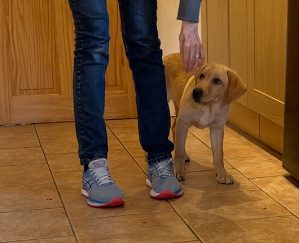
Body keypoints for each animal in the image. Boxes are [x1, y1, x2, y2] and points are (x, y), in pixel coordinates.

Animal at [165, 53, 247, 184]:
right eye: (202, 76)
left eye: (217, 81)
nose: (196, 92)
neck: (209, 106)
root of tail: (168, 55)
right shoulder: (183, 122)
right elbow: (179, 151)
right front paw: (179, 171)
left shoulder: (217, 129)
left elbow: (219, 155)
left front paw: (222, 174)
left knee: (174, 129)